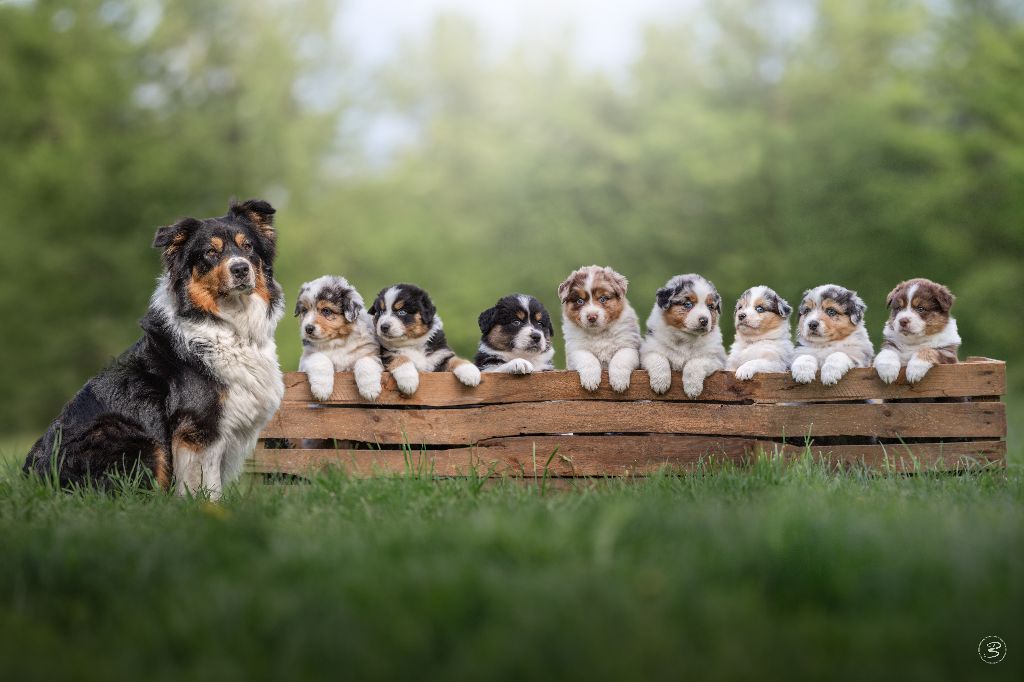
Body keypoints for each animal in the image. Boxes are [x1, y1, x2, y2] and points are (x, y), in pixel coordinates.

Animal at [24, 199, 288, 497]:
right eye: (210, 252)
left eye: (248, 247)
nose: (241, 268)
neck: (230, 326)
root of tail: (36, 477)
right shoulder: (197, 427)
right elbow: (205, 484)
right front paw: (206, 506)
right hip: (137, 439)